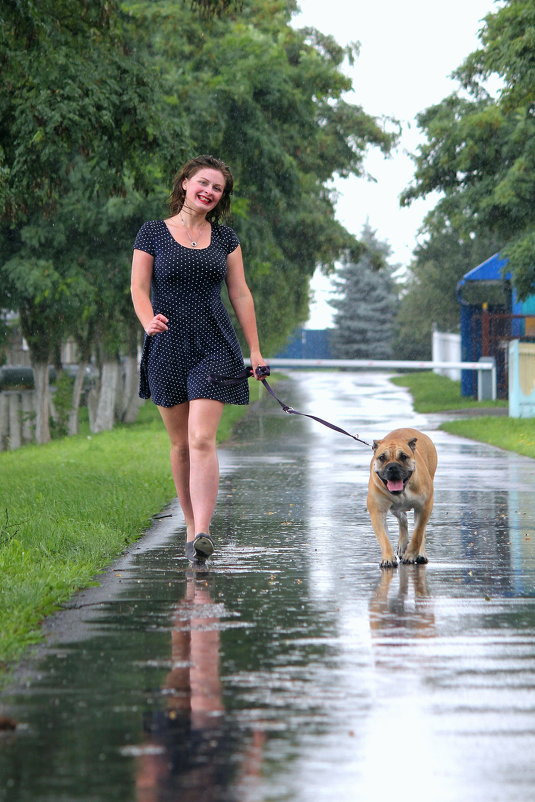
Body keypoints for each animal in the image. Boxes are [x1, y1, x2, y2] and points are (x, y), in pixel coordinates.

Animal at [368, 428, 440, 564]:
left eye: (403, 456)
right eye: (382, 457)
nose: (392, 467)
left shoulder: (424, 507)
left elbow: (418, 534)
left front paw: (411, 555)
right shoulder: (377, 511)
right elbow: (383, 537)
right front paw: (387, 558)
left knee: (421, 530)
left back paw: (421, 554)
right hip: (395, 508)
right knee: (403, 519)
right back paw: (402, 546)